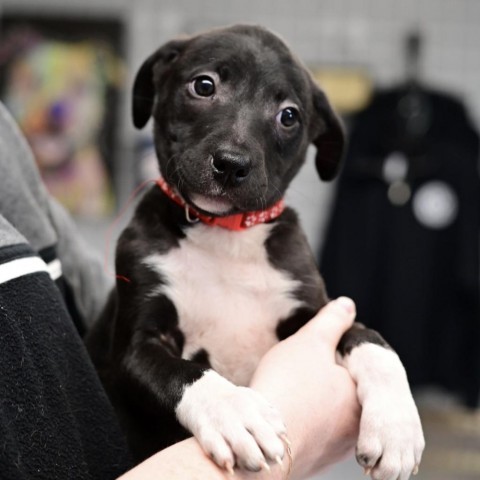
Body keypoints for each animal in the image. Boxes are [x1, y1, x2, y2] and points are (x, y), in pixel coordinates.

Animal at [86, 24, 424, 478]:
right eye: (204, 85)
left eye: (289, 115)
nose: (231, 164)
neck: (225, 236)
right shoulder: (133, 350)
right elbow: (185, 371)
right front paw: (233, 412)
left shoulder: (317, 312)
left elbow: (371, 339)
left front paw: (396, 429)